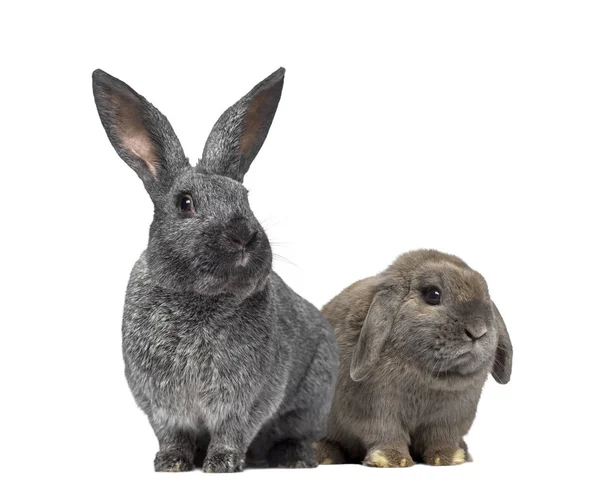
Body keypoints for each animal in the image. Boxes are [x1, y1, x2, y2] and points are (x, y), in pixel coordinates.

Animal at [92, 66, 340, 470]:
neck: (197, 298)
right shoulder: (159, 404)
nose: (243, 234)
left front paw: (221, 463)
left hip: (313, 397)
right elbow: (171, 433)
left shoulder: (249, 398)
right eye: (185, 203)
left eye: (245, 199)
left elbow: (232, 430)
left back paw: (293, 459)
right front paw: (172, 463)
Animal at [314, 250, 510, 468]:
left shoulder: (450, 416)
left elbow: (441, 437)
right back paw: (324, 455)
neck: (431, 377)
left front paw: (449, 457)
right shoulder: (377, 408)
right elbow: (385, 432)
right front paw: (391, 460)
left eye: (486, 296)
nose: (478, 330)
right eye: (433, 295)